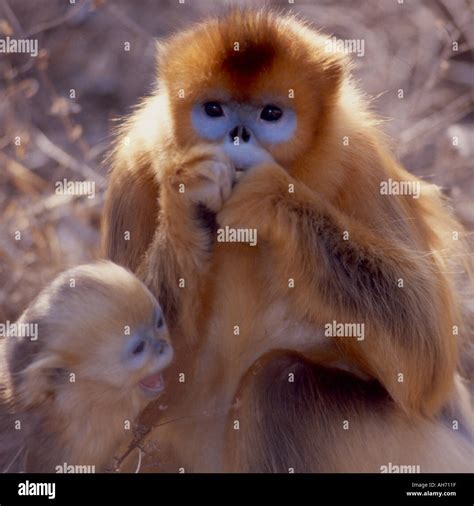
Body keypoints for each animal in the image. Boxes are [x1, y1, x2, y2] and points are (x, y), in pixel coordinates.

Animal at [102, 7, 472, 472]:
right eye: (214, 109)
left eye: (271, 114)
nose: (238, 135)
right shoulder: (136, 163)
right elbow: (125, 399)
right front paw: (187, 196)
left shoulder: (361, 160)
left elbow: (426, 361)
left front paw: (269, 194)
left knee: (279, 387)